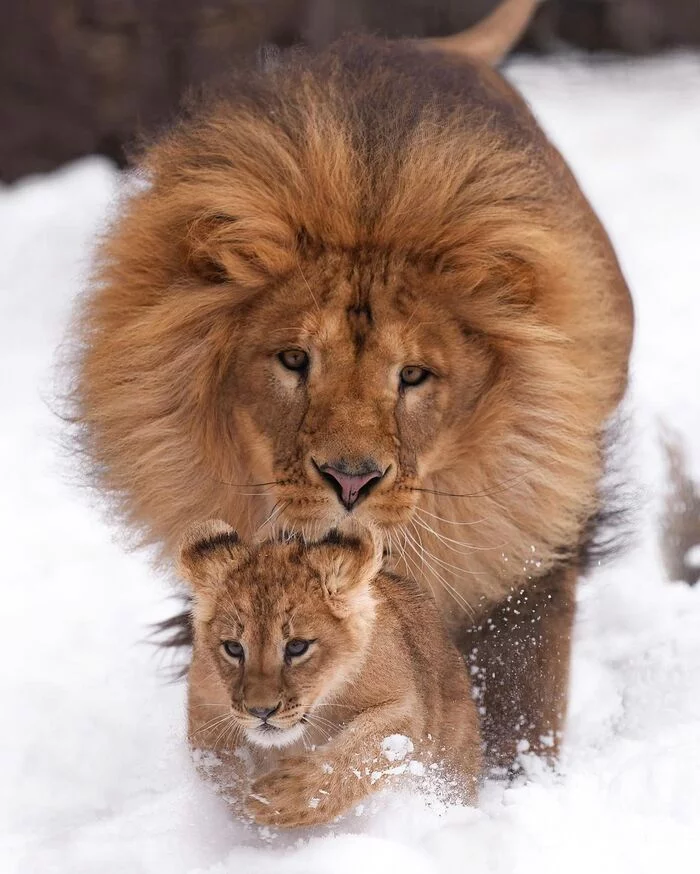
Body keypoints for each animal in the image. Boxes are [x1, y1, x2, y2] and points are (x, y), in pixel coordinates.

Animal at [176, 516, 482, 824]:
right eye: (234, 648)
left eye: (297, 646)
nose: (261, 712)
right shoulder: (206, 707)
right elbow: (221, 770)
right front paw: (242, 800)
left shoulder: (405, 707)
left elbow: (362, 752)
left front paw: (276, 798)